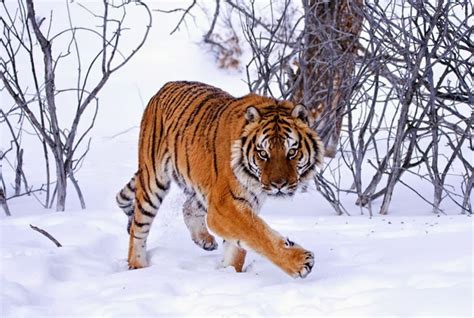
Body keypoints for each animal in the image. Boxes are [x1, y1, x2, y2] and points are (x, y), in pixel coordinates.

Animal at [116, 82, 324, 278]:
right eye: (263, 153)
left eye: (292, 152)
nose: (279, 184)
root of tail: (164, 87)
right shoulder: (224, 205)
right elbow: (258, 234)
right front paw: (300, 262)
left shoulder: (240, 203)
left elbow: (238, 246)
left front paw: (229, 273)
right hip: (153, 181)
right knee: (138, 228)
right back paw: (139, 266)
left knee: (188, 206)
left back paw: (204, 240)